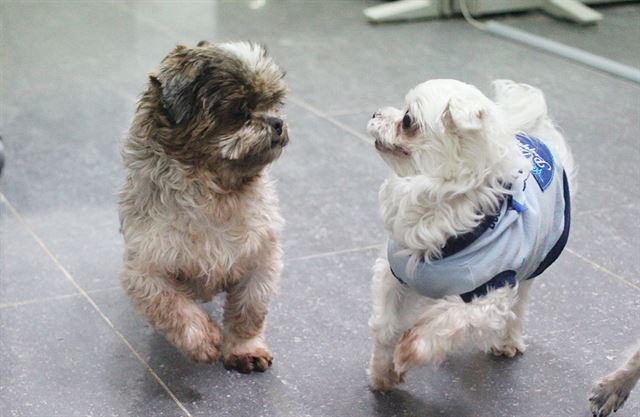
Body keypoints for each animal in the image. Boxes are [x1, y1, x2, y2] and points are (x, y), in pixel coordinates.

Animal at [362, 79, 576, 390]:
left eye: (408, 120)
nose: (375, 113)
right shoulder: (394, 275)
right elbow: (385, 326)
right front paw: (383, 372)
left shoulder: (491, 294)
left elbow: (451, 320)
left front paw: (408, 350)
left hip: (533, 262)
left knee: (518, 306)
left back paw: (507, 341)